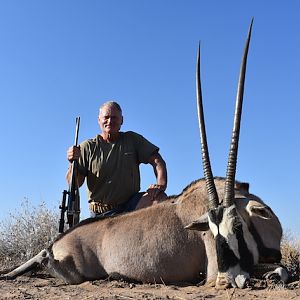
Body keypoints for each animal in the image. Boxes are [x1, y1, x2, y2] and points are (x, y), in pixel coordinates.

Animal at [1, 21, 288, 288]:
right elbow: (279, 270)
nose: (226, 281)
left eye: (238, 226)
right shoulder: (212, 269)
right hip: (73, 273)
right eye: (212, 230)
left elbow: (281, 267)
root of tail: (55, 243)